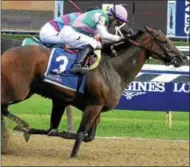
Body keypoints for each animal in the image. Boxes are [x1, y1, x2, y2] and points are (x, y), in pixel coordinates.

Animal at [1, 25, 187, 157]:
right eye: (163, 40)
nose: (182, 57)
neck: (113, 68)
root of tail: (8, 51)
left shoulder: (94, 107)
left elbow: (83, 135)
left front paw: (56, 132)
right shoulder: (93, 106)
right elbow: (80, 134)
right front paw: (72, 155)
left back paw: (21, 129)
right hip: (17, 91)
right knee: (4, 107)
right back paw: (20, 128)